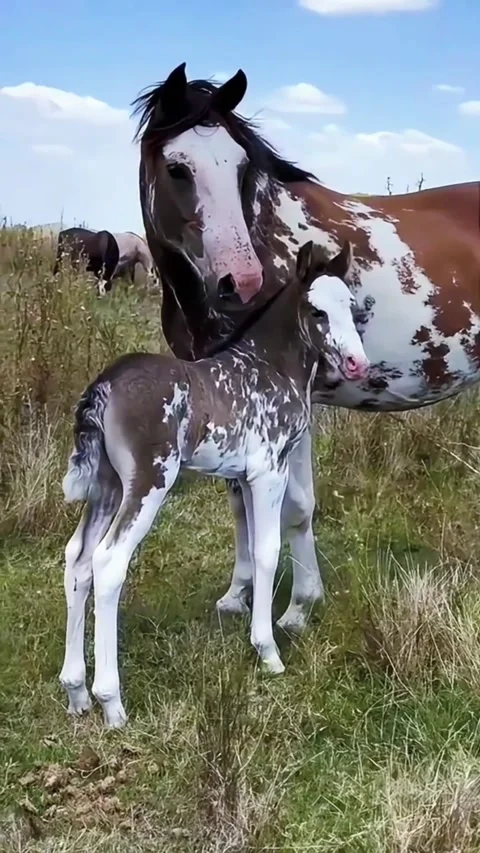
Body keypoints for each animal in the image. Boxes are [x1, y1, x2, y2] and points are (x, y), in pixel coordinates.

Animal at [59, 240, 369, 727]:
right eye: (317, 311)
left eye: (352, 307)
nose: (359, 364)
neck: (269, 365)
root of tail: (104, 386)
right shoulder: (268, 472)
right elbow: (266, 551)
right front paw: (268, 651)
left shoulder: (243, 477)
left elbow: (254, 544)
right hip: (149, 482)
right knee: (109, 563)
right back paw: (110, 701)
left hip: (107, 487)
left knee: (79, 560)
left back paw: (75, 691)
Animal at [132, 63, 480, 634]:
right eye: (178, 168)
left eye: (241, 166)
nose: (241, 282)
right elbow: (240, 501)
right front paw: (239, 595)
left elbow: (294, 506)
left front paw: (299, 606)